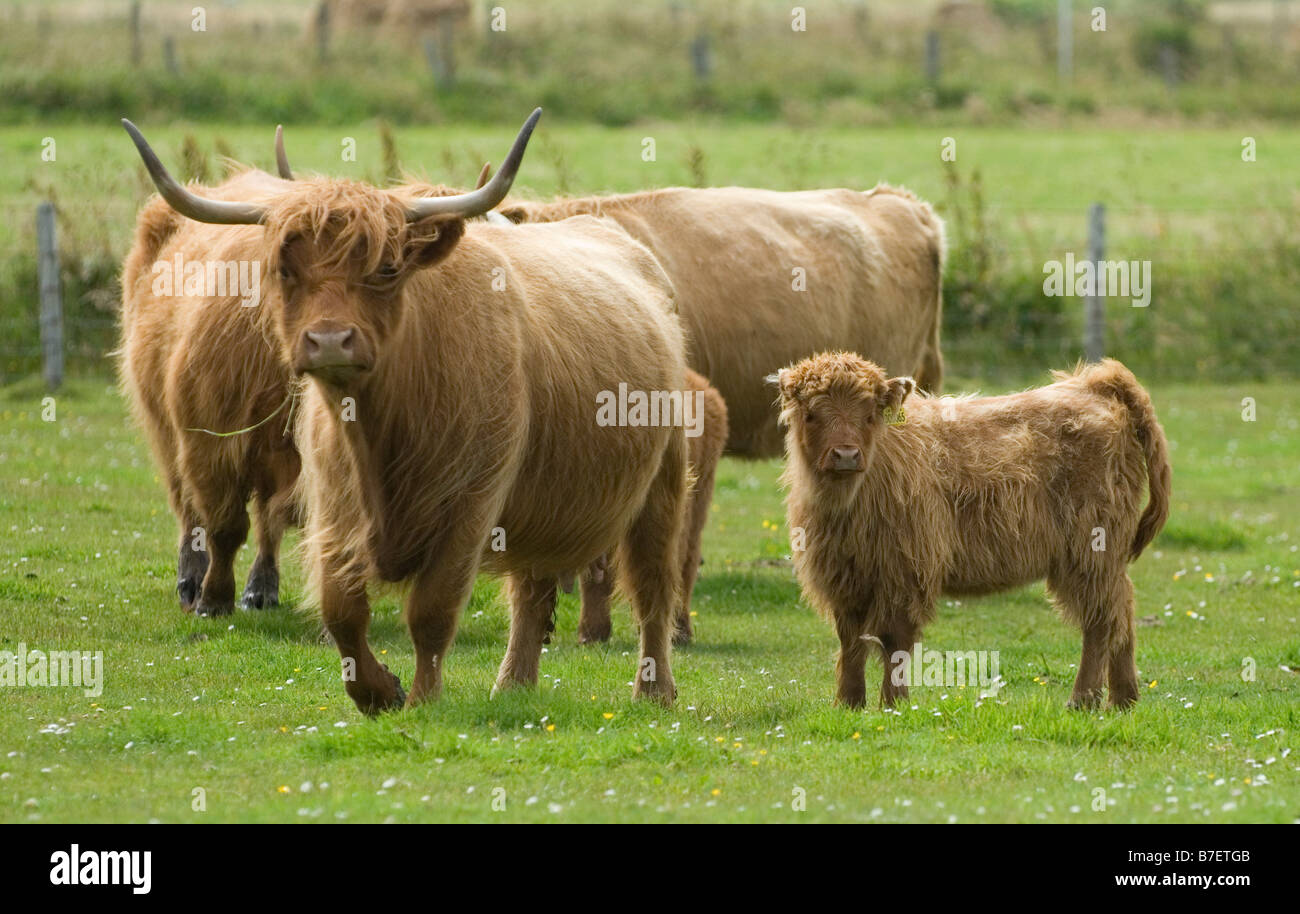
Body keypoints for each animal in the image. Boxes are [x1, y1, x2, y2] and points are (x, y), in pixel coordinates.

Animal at [123, 110, 692, 713]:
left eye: (387, 269)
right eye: (284, 268)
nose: (329, 340)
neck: (382, 426)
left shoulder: (470, 506)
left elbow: (431, 612)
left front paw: (421, 697)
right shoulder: (330, 502)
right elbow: (340, 608)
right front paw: (378, 690)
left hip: (662, 481)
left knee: (652, 588)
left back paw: (654, 691)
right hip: (543, 501)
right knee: (532, 592)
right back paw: (512, 685)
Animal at [772, 352, 1171, 711]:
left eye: (869, 415)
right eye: (810, 415)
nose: (845, 455)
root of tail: (1094, 385)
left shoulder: (906, 569)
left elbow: (893, 640)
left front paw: (894, 705)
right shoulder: (842, 576)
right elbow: (850, 640)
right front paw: (849, 703)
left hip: (1091, 550)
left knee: (1101, 620)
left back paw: (1083, 700)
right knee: (1122, 612)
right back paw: (1123, 699)